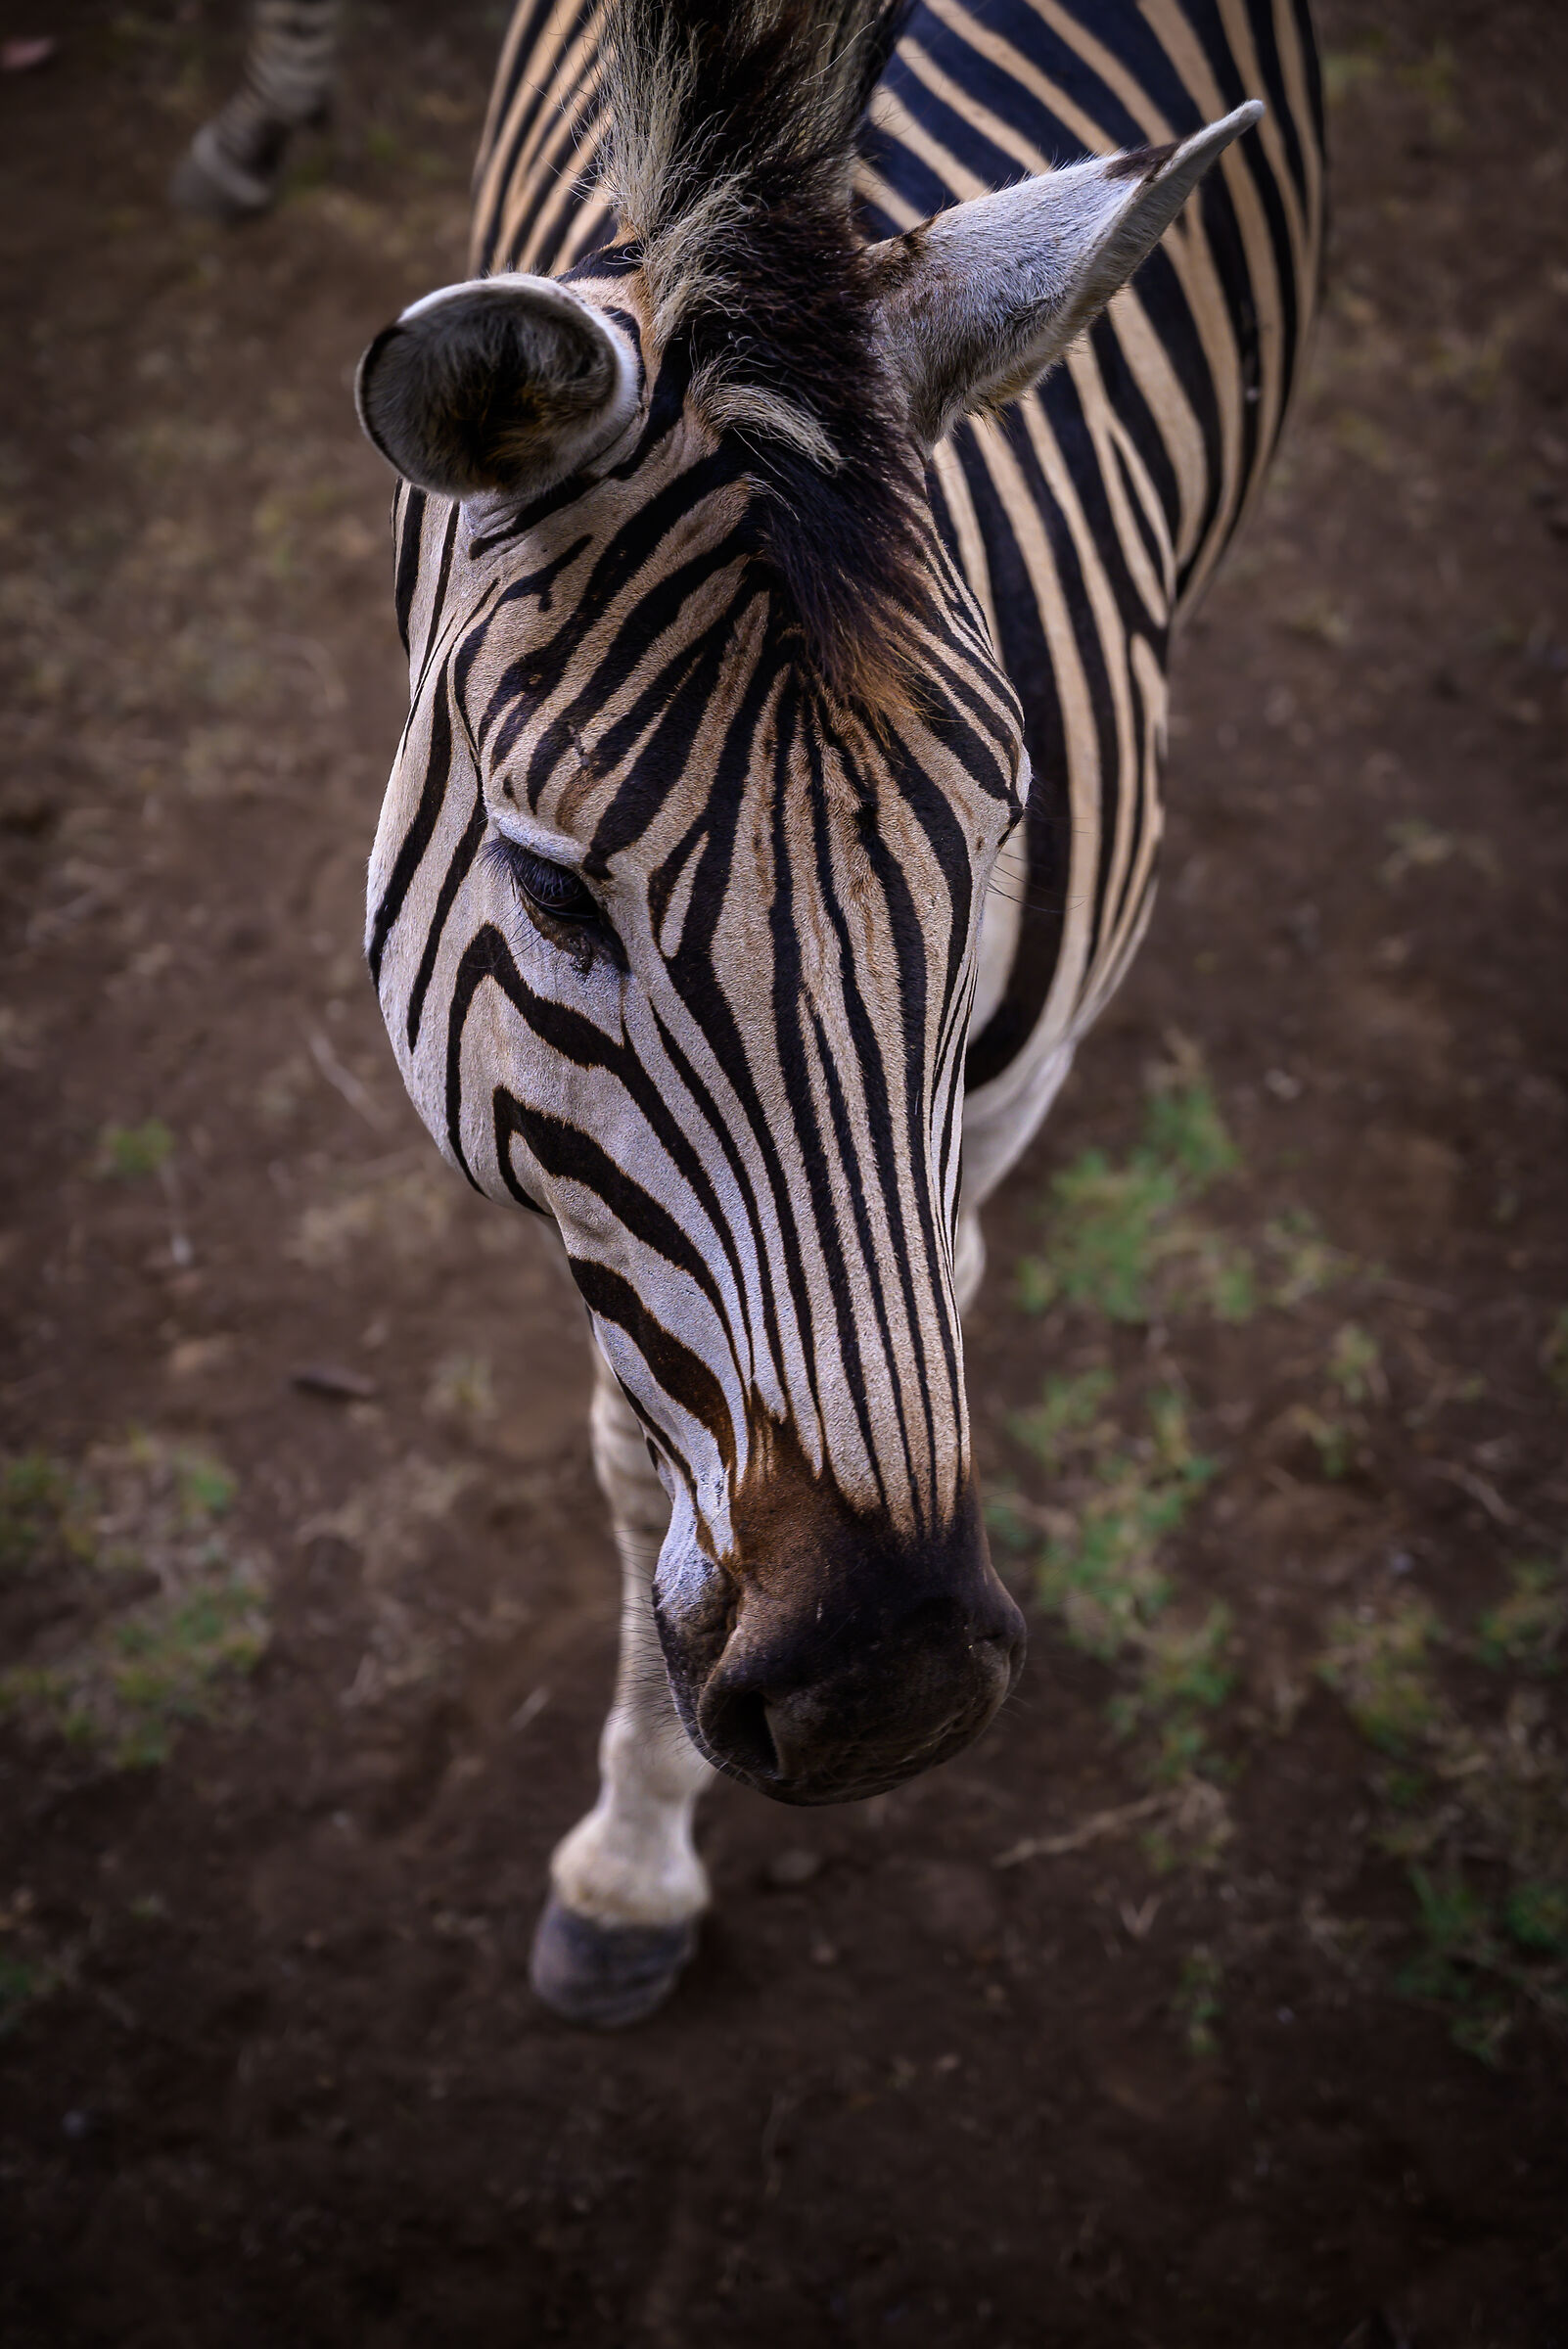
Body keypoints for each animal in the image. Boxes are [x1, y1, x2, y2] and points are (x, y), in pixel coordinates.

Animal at [225, 0, 1321, 2026]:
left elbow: (933, 1283)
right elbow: (633, 1441)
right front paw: (634, 1857)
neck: (766, 161)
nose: (892, 1686)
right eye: (556, 891)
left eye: (1005, 835)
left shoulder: (990, 1093)